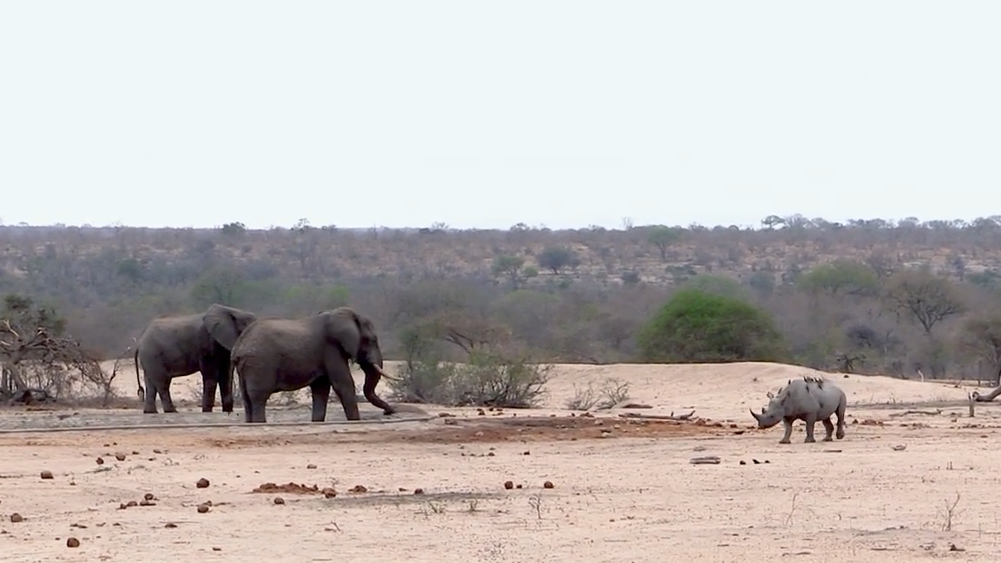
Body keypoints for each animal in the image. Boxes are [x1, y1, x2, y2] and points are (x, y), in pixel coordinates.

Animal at [229, 306, 398, 420]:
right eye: (372, 340)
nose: (389, 411)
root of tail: (238, 347)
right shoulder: (331, 349)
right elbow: (343, 384)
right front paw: (355, 421)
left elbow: (321, 389)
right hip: (260, 365)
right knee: (259, 398)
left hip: (246, 367)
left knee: (247, 399)